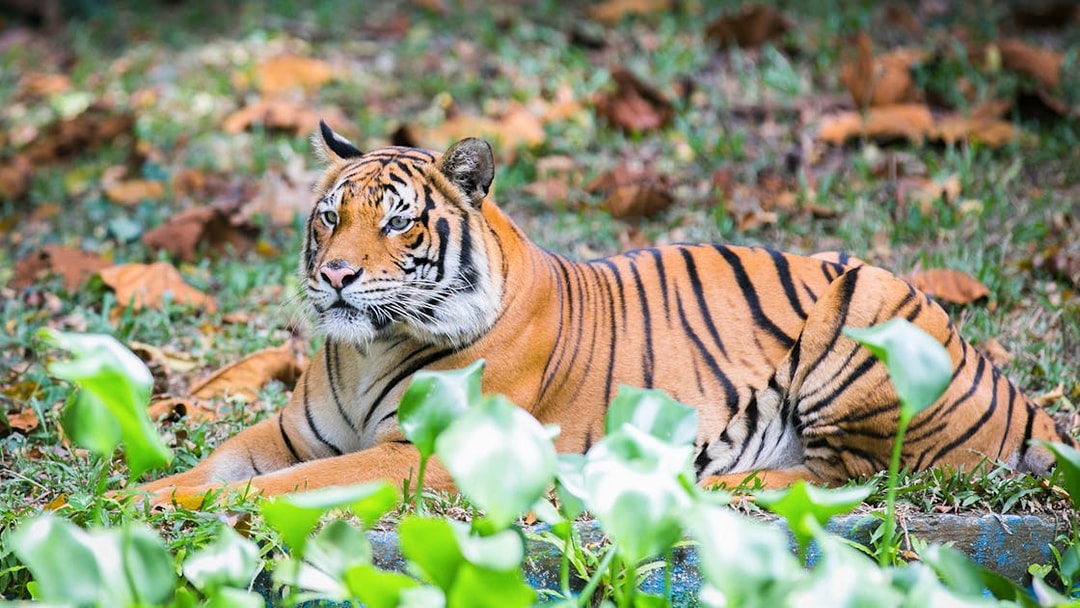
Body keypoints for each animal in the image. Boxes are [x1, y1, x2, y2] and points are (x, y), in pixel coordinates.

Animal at [139, 120, 1073, 504]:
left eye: (398, 221)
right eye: (331, 216)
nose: (334, 275)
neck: (366, 350)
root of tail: (1015, 390)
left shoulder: (420, 454)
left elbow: (284, 489)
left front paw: (158, 510)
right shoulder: (291, 432)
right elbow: (218, 463)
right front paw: (124, 496)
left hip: (865, 308)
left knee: (852, 476)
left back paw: (708, 483)